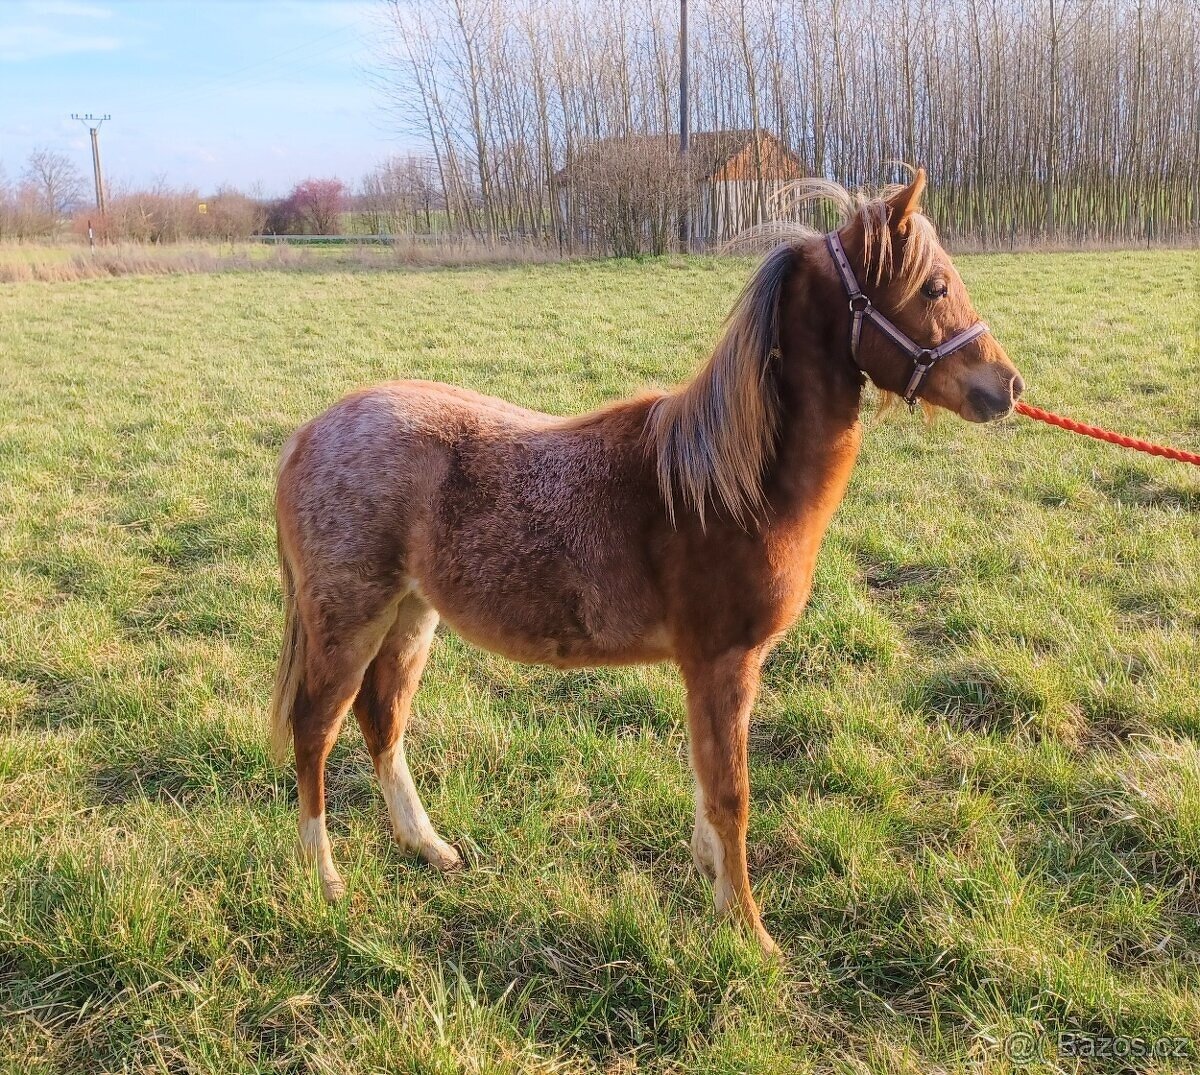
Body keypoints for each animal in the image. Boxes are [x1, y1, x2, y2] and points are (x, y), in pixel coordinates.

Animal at [269, 169, 1024, 955]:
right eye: (935, 286)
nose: (1007, 386)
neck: (730, 482)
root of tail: (307, 435)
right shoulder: (723, 660)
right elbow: (731, 796)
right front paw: (749, 929)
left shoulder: (717, 668)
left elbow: (708, 783)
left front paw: (713, 879)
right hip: (347, 620)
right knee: (315, 730)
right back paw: (326, 878)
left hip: (412, 617)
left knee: (381, 721)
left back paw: (427, 846)